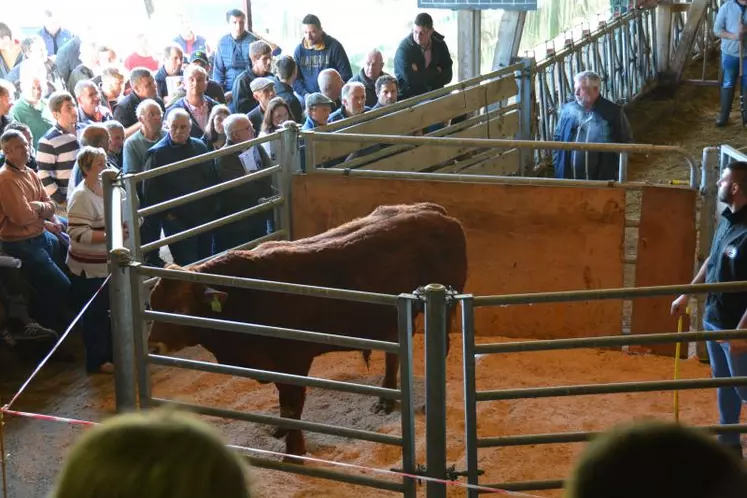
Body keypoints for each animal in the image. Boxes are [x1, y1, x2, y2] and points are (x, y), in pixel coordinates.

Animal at [148, 202, 468, 460]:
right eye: (152, 305)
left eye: (180, 308)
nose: (153, 347)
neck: (246, 295)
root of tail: (435, 212)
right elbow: (283, 402)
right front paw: (280, 431)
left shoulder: (294, 361)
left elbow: (293, 405)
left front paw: (295, 451)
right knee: (394, 354)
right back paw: (385, 400)